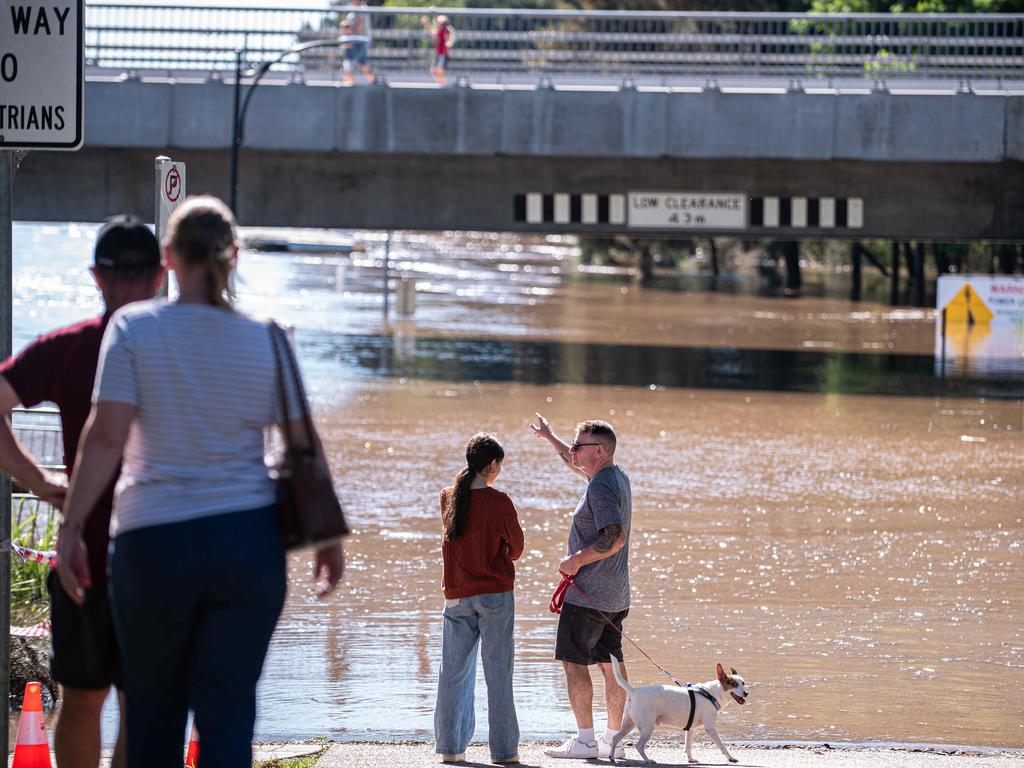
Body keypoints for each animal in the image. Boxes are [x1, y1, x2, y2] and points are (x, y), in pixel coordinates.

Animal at [606, 659, 745, 765]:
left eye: (743, 683)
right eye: (734, 684)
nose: (746, 693)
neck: (712, 693)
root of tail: (633, 691)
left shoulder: (691, 729)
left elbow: (688, 746)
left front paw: (690, 759)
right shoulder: (710, 728)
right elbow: (722, 745)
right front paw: (731, 758)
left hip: (629, 724)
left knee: (615, 737)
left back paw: (612, 757)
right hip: (647, 728)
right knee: (639, 746)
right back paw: (648, 760)